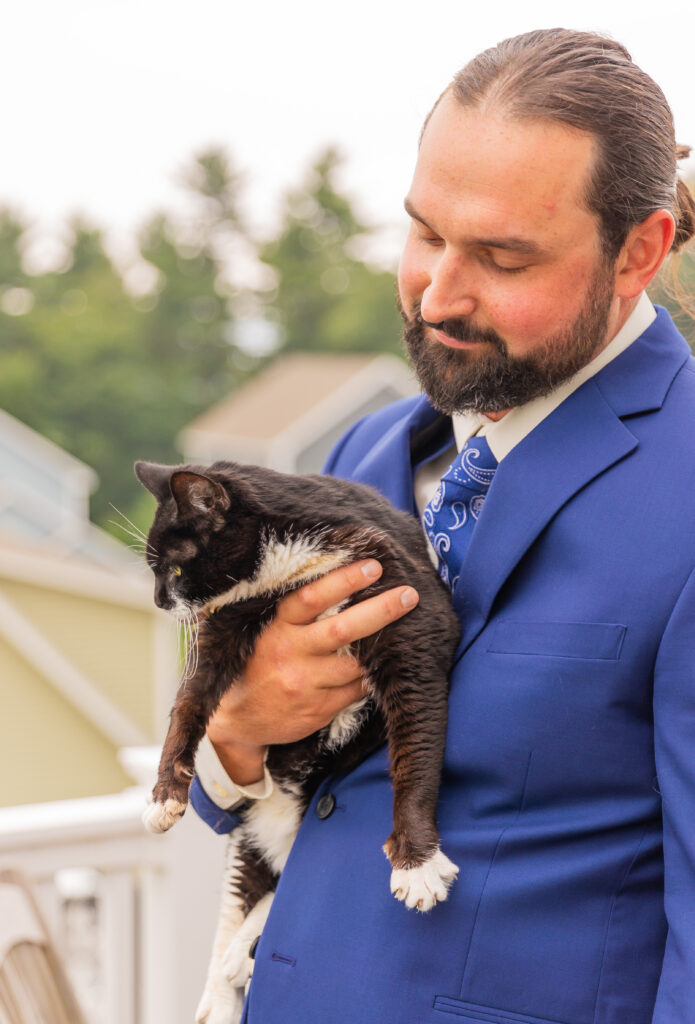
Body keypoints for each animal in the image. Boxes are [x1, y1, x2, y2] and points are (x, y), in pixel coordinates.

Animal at [136, 460, 462, 1019]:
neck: (284, 573)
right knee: (245, 883)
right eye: (155, 571)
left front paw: (416, 863)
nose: (158, 601)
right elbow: (190, 701)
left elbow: (415, 744)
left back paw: (242, 951)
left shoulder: (409, 610)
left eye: (174, 571)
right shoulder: (227, 620)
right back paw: (220, 988)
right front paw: (164, 795)